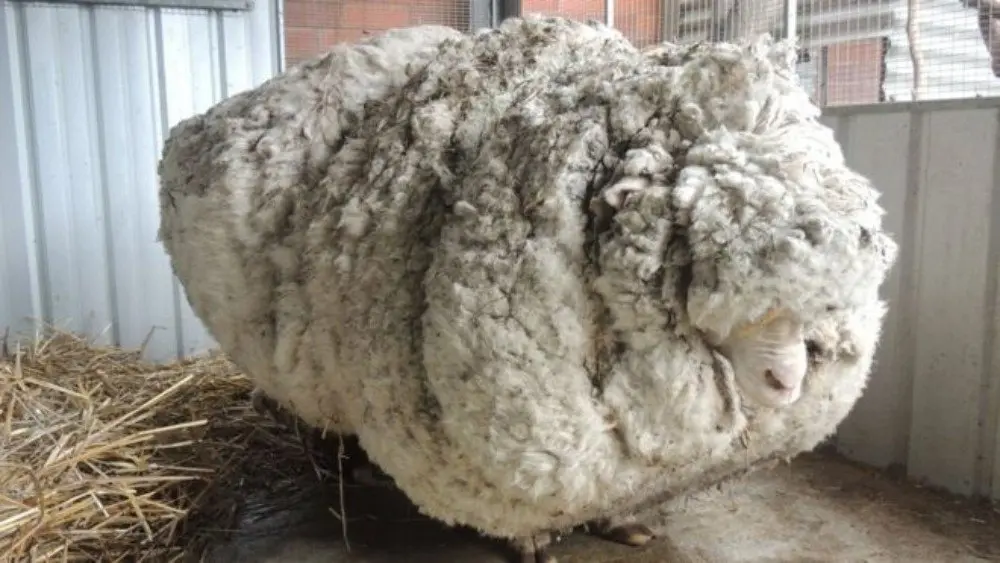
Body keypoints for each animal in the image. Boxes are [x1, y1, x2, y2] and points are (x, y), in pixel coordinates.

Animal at [156, 16, 898, 562]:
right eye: (702, 254)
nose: (787, 382)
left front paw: (621, 525)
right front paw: (533, 541)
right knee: (313, 414)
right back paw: (337, 472)